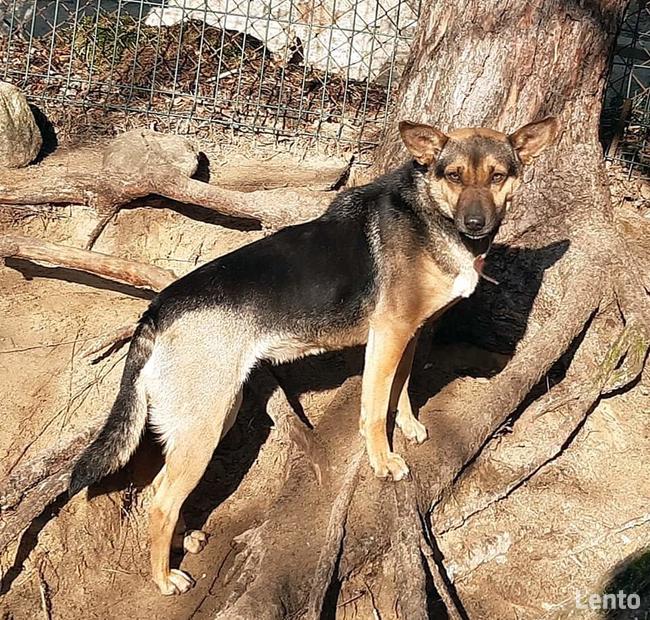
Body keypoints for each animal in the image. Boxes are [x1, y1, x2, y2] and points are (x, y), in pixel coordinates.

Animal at [69, 116, 556, 596]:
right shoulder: (388, 335)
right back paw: (163, 577)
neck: (429, 214)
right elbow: (374, 408)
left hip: (212, 416)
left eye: (497, 176)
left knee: (160, 484)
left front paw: (409, 425)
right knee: (161, 502)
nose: (475, 223)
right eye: (454, 175)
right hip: (206, 423)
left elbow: (400, 389)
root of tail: (158, 308)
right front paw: (383, 461)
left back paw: (181, 540)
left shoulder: (408, 335)